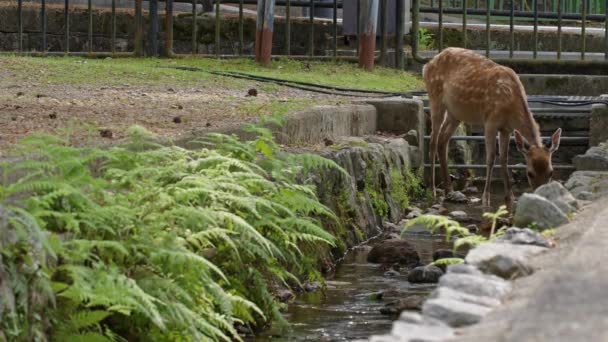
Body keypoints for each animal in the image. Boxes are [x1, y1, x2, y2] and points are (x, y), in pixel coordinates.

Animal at [422, 47, 560, 208]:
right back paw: (433, 189)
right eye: (530, 173)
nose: (542, 196)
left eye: (551, 172)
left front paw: (510, 197)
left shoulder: (506, 129)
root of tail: (427, 66)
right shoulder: (490, 121)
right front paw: (485, 199)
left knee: (443, 141)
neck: (510, 108)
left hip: (455, 113)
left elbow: (504, 159)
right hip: (435, 98)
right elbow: (491, 158)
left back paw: (449, 189)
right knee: (433, 141)